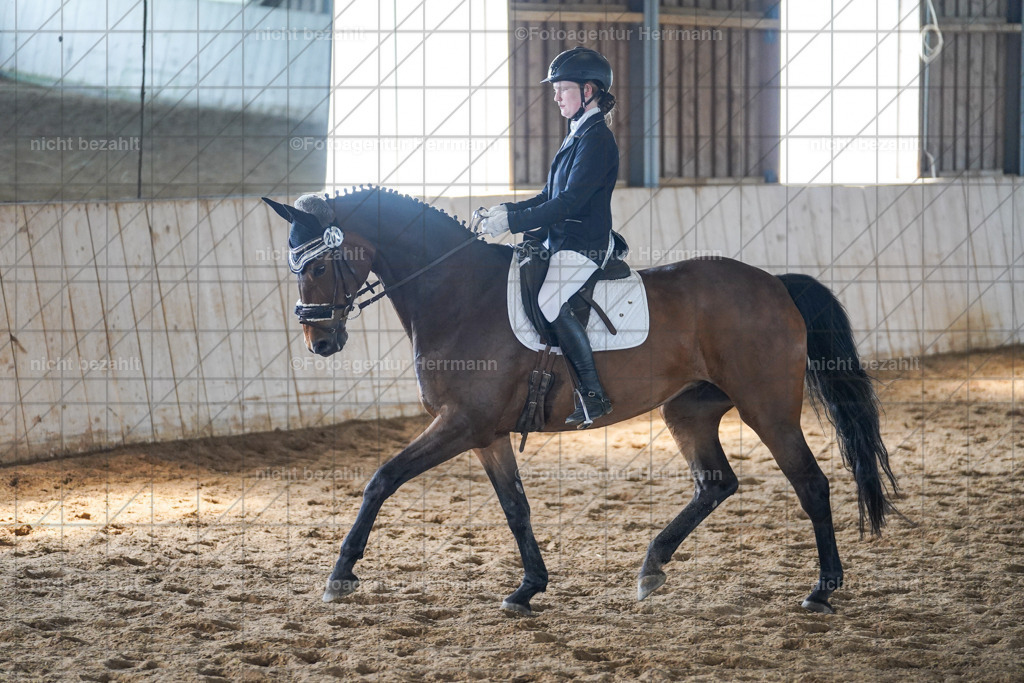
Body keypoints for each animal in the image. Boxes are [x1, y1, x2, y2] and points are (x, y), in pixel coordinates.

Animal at [261, 186, 898, 616]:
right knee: (716, 482)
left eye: (319, 265)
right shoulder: (485, 434)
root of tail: (775, 283)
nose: (320, 342)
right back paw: (651, 567)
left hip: (766, 407)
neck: (460, 294)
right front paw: (527, 588)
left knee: (811, 483)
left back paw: (822, 590)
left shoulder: (460, 424)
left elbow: (382, 479)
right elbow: (515, 508)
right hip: (688, 408)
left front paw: (340, 574)